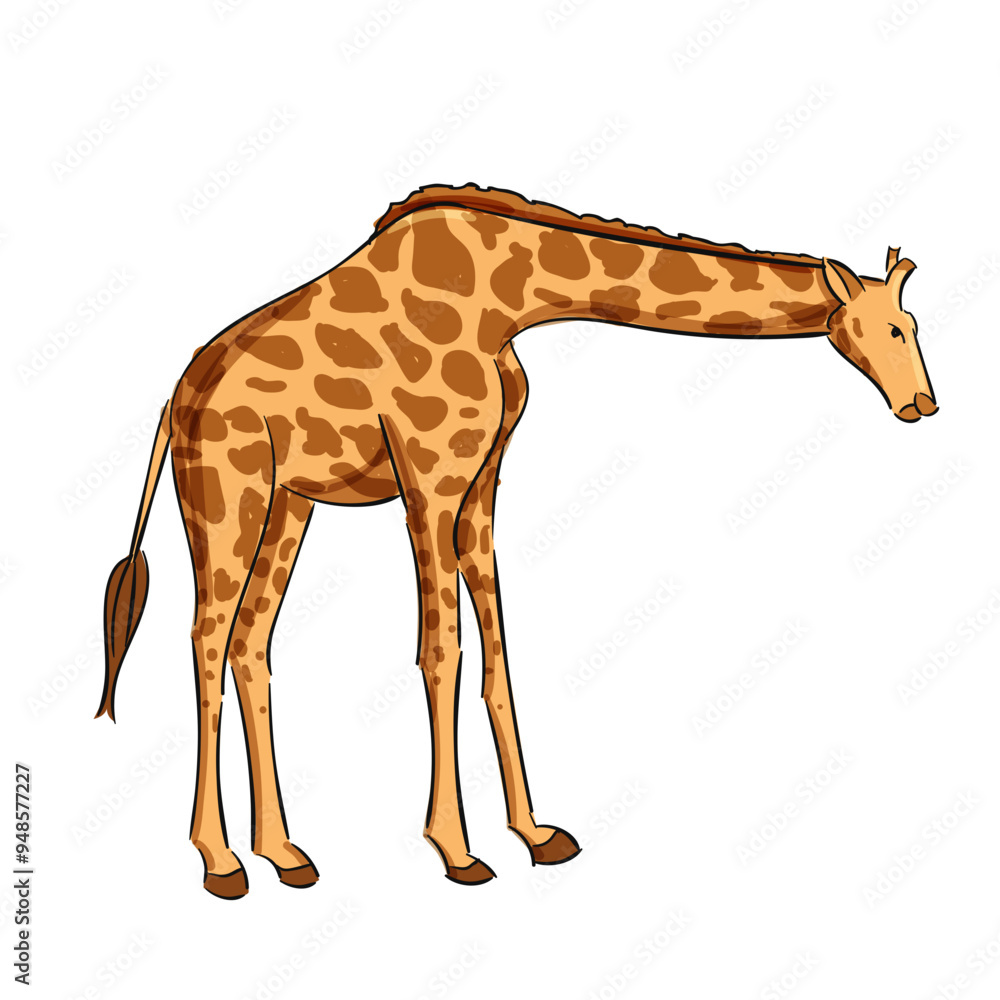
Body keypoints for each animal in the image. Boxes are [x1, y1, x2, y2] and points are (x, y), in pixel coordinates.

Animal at [97, 184, 937, 898]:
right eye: (895, 328)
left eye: (916, 328)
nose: (922, 403)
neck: (509, 301)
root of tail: (177, 400)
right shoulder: (429, 477)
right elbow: (441, 650)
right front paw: (458, 850)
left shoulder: (482, 481)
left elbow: (497, 652)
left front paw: (535, 834)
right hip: (227, 489)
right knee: (206, 637)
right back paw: (221, 861)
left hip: (290, 502)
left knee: (250, 643)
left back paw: (285, 853)